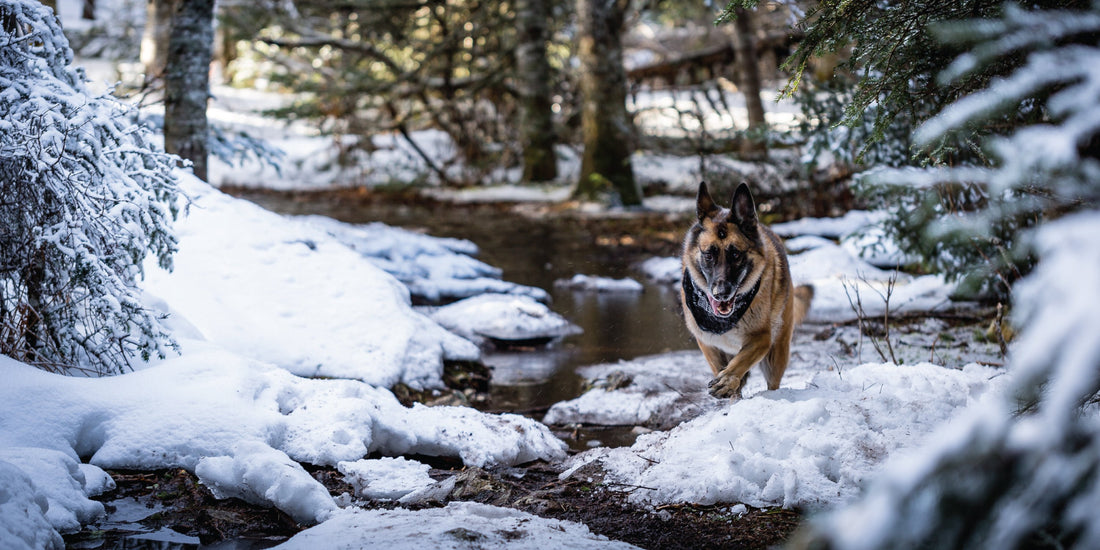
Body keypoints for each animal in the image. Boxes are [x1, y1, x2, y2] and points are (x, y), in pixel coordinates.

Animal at [677, 182, 818, 398]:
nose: (721, 293)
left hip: (776, 354)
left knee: (773, 382)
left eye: (735, 254)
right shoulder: (707, 342)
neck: (723, 322)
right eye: (708, 255)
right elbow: (723, 367)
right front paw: (730, 387)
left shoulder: (762, 338)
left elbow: (740, 361)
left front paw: (727, 380)